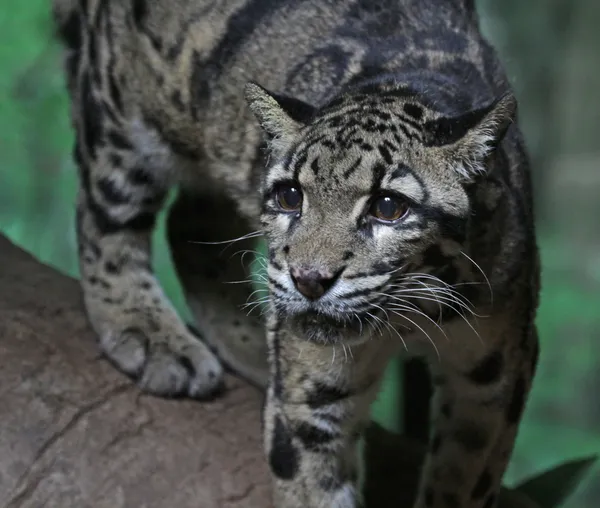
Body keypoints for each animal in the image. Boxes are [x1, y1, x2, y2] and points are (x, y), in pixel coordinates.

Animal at [52, 0, 540, 506]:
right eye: (290, 196)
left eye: (388, 206)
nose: (308, 280)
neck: (412, 314)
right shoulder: (312, 402)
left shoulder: (497, 369)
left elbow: (465, 480)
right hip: (119, 115)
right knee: (104, 215)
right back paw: (153, 338)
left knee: (189, 226)